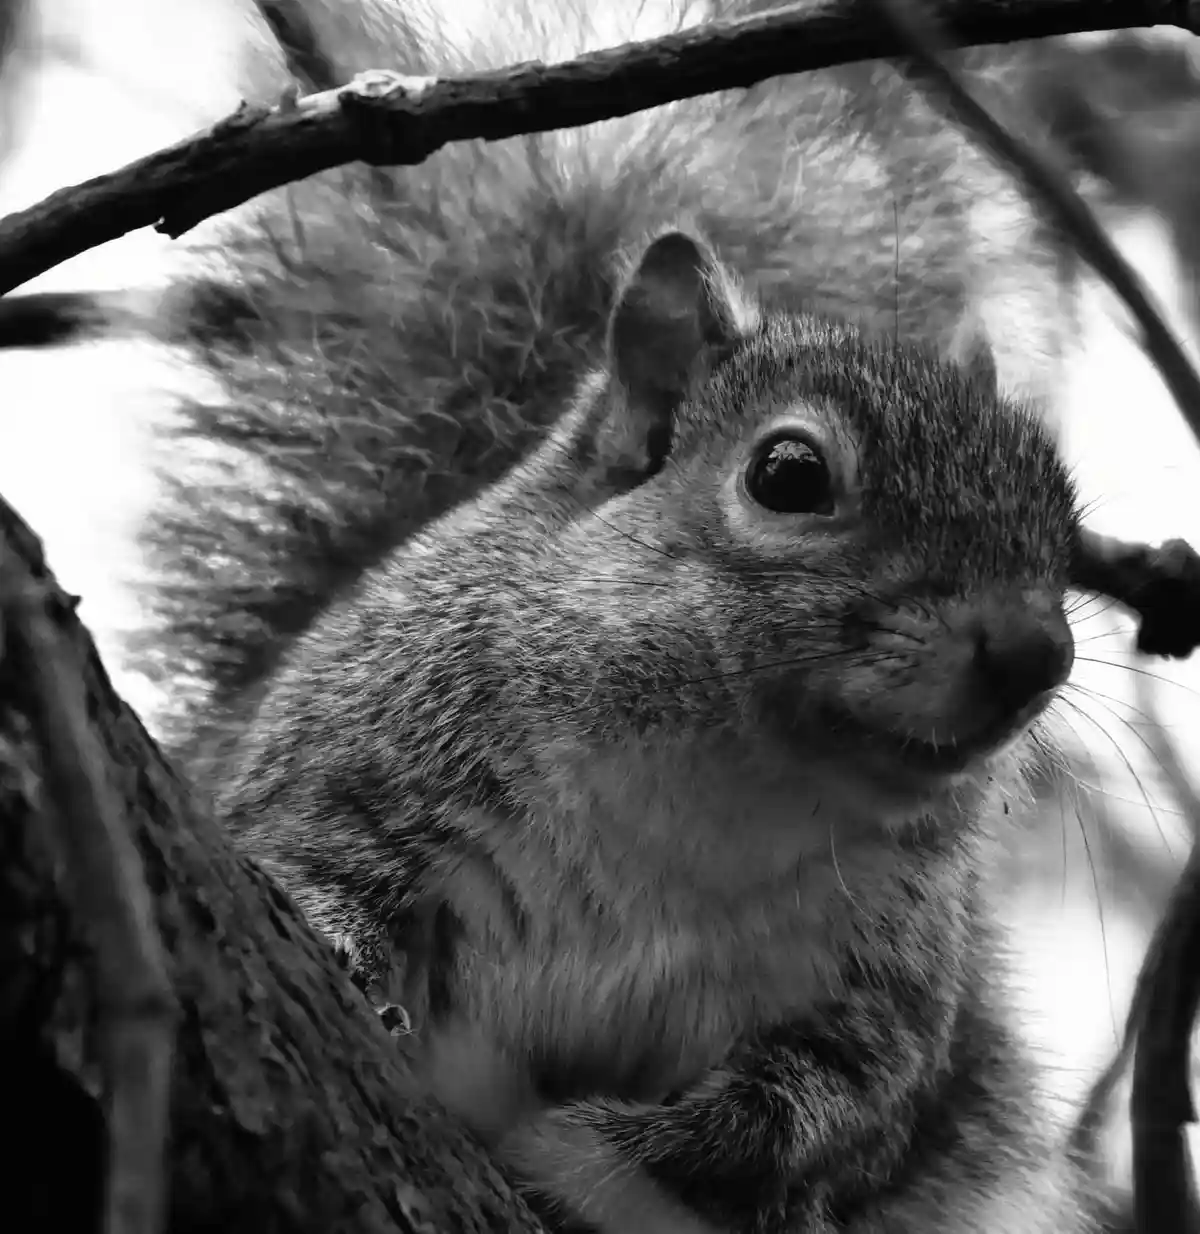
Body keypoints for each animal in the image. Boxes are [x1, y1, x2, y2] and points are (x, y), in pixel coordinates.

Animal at [9, 0, 1150, 1229]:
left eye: (1060, 517)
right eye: (789, 474)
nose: (1035, 651)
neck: (716, 794)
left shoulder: (879, 1007)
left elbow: (803, 1119)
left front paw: (592, 1147)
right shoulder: (352, 771)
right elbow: (313, 875)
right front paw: (355, 969)